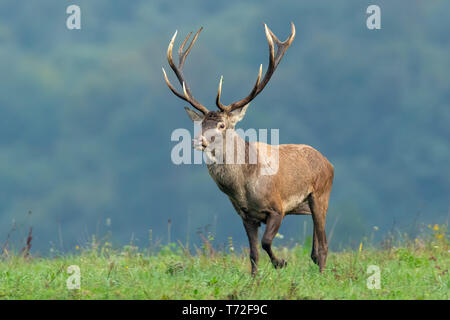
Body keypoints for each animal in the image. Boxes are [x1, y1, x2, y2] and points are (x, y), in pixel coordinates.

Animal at [163, 22, 334, 274]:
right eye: (201, 124)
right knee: (314, 248)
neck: (242, 188)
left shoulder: (277, 208)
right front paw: (255, 278)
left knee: (322, 246)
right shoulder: (246, 216)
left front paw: (281, 262)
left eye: (222, 125)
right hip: (307, 205)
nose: (198, 141)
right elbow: (253, 254)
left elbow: (266, 242)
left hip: (321, 195)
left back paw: (321, 275)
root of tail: (329, 163)